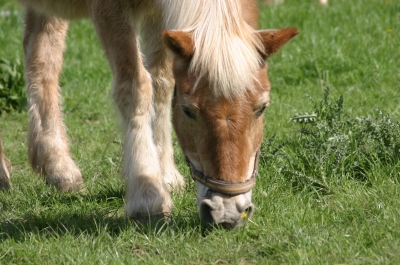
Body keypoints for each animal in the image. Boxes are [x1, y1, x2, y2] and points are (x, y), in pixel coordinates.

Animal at [0, 0, 296, 227]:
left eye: (261, 107)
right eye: (189, 111)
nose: (227, 212)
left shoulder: (158, 14)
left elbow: (161, 82)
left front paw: (165, 174)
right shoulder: (110, 10)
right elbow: (136, 87)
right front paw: (147, 196)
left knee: (41, 60)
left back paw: (58, 167)